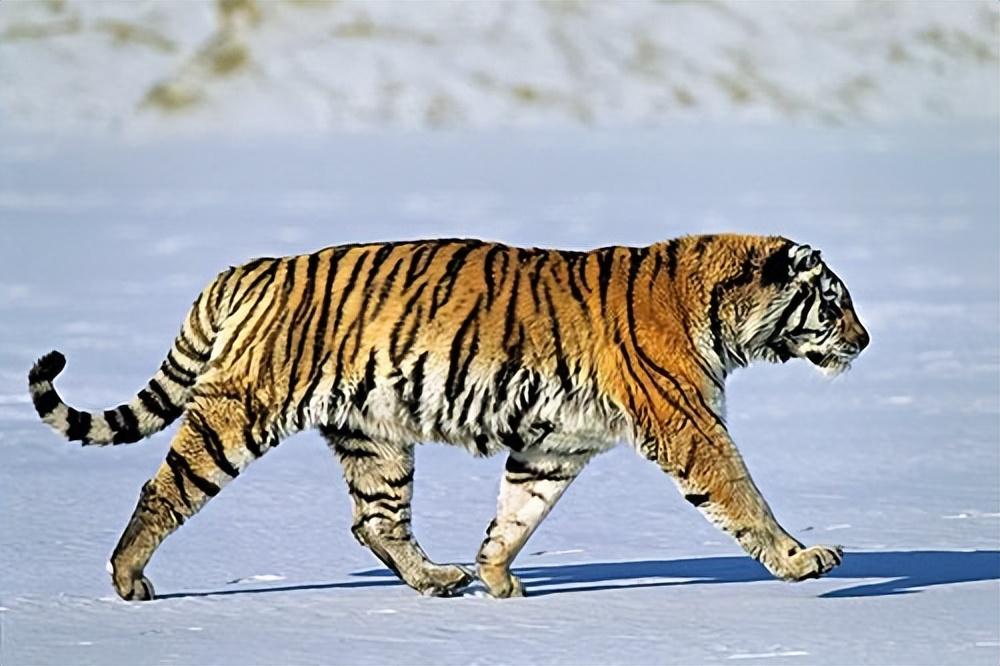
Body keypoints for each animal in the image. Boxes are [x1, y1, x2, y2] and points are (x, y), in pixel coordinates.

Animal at [28, 234, 869, 601]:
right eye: (834, 303)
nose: (865, 340)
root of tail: (251, 266)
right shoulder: (688, 424)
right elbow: (742, 496)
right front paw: (802, 560)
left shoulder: (557, 444)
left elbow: (518, 512)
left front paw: (496, 576)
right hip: (239, 413)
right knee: (162, 490)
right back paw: (128, 578)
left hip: (375, 437)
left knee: (374, 521)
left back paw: (438, 580)